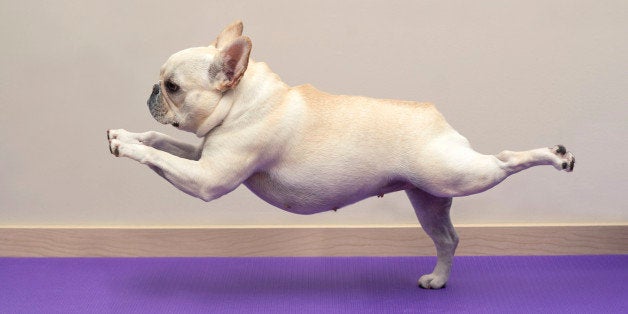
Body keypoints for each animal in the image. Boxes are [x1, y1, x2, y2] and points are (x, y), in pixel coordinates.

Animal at [106, 20, 576, 288]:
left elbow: (162, 158)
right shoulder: (203, 156)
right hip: (428, 198)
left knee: (504, 160)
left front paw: (125, 145)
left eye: (173, 87)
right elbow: (162, 143)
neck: (243, 100)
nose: (151, 90)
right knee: (448, 239)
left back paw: (555, 156)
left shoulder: (208, 179)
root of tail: (436, 118)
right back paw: (439, 280)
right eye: (161, 83)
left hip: (458, 175)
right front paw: (128, 134)